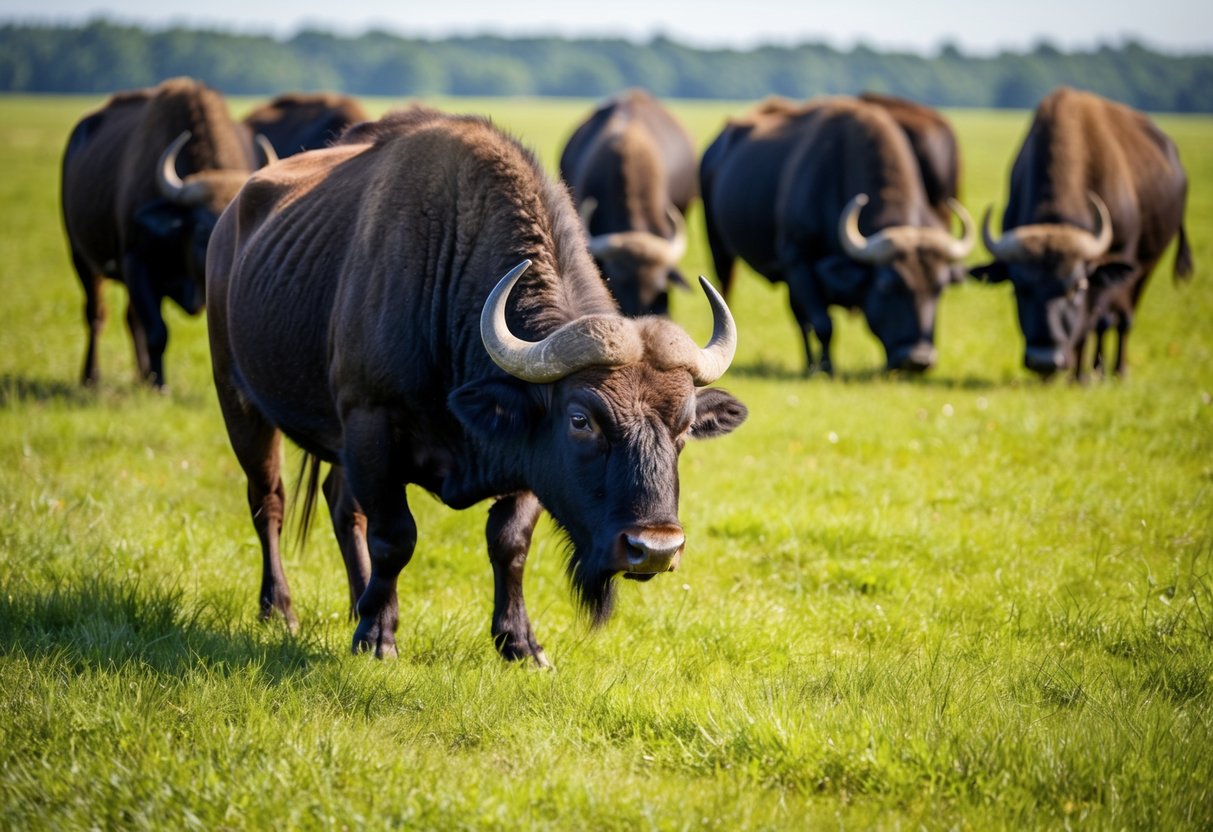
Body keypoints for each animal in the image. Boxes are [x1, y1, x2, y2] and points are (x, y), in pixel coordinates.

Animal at [61, 77, 271, 387]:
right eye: (202, 228)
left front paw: (152, 378)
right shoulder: (137, 264)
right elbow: (157, 332)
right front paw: (159, 384)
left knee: (130, 318)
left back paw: (140, 374)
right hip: (81, 256)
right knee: (96, 314)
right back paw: (91, 376)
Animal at [701, 96, 974, 374]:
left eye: (939, 288)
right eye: (887, 285)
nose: (917, 359)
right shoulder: (798, 261)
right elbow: (823, 324)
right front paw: (827, 368)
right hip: (719, 247)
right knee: (730, 288)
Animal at [970, 87, 1193, 378]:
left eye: (1076, 287)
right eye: (1019, 289)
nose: (1045, 361)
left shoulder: (1111, 264)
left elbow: (1093, 322)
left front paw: (1083, 375)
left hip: (1146, 266)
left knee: (1122, 318)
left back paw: (1115, 370)